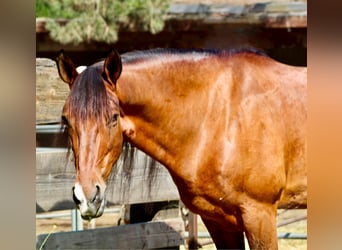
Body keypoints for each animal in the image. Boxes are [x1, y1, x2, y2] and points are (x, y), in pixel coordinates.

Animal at [56, 47, 308, 249]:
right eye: (66, 120)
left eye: (113, 117)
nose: (87, 196)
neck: (223, 114)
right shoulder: (219, 221)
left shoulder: (259, 215)